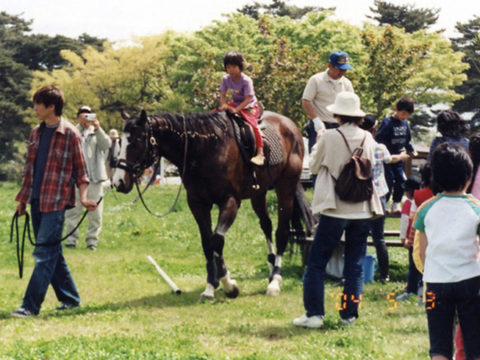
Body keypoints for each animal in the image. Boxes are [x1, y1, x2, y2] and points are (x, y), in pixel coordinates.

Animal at [113, 110, 304, 300]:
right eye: (120, 141)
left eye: (137, 140)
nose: (119, 182)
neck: (204, 150)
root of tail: (290, 125)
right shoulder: (198, 204)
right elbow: (207, 242)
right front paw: (211, 286)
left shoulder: (229, 201)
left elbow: (217, 240)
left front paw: (228, 284)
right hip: (258, 193)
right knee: (266, 225)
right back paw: (271, 269)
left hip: (285, 188)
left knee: (281, 232)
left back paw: (275, 281)